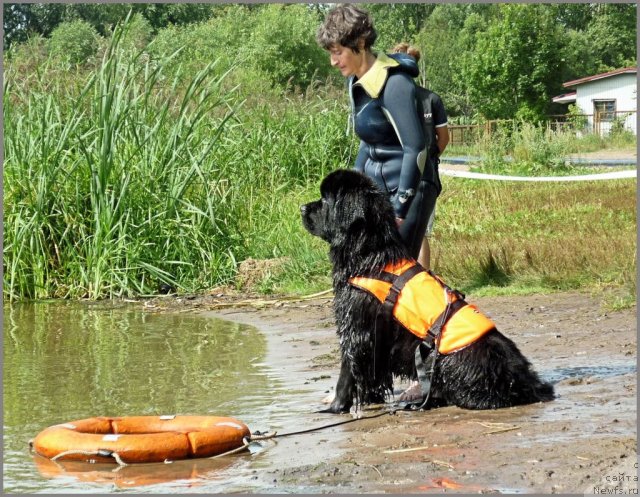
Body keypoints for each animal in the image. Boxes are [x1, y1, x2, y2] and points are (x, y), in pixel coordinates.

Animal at [302, 169, 556, 412]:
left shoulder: (357, 329)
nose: (302, 207)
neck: (370, 255)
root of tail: (529, 382)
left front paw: (336, 406)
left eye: (324, 200)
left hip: (443, 359)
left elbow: (347, 371)